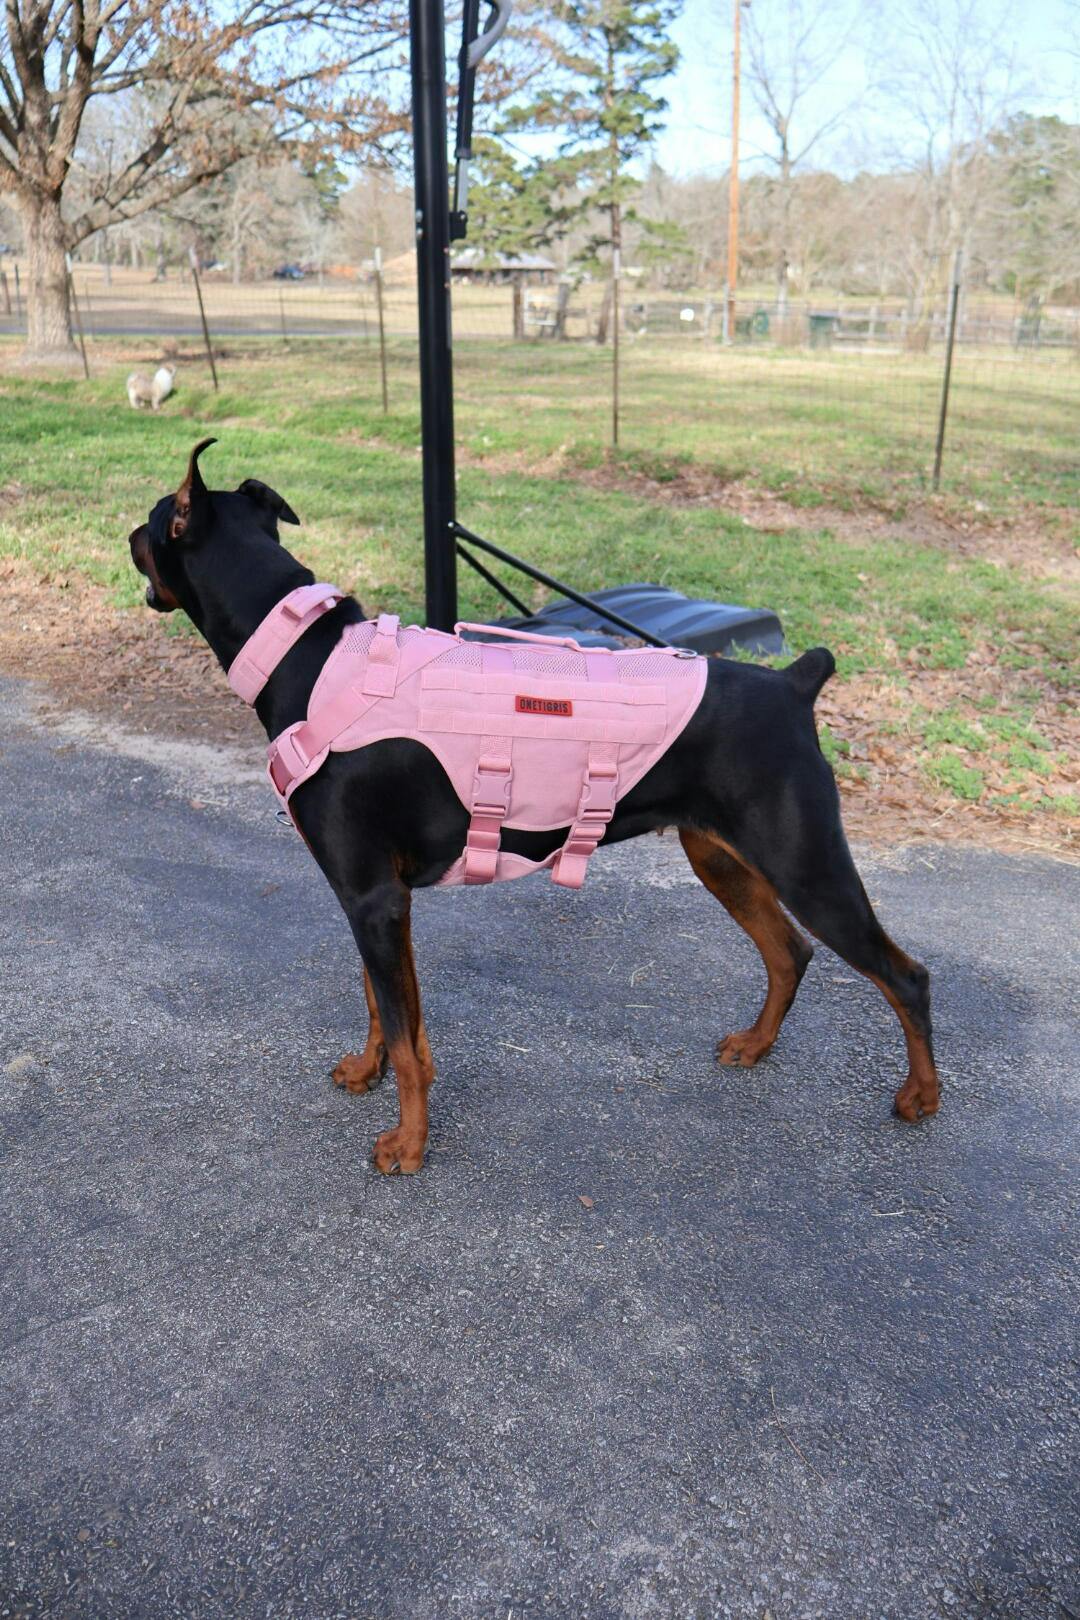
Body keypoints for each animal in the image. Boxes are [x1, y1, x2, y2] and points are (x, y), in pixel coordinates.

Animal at [127, 441, 940, 1175]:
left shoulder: (372, 895)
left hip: (806, 863)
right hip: (719, 854)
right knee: (788, 952)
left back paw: (920, 1097)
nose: (129, 535)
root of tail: (794, 683)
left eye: (154, 518)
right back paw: (755, 1044)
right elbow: (393, 1012)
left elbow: (398, 1026)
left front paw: (408, 1147)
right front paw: (370, 1074)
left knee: (904, 976)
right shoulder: (375, 899)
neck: (304, 654)